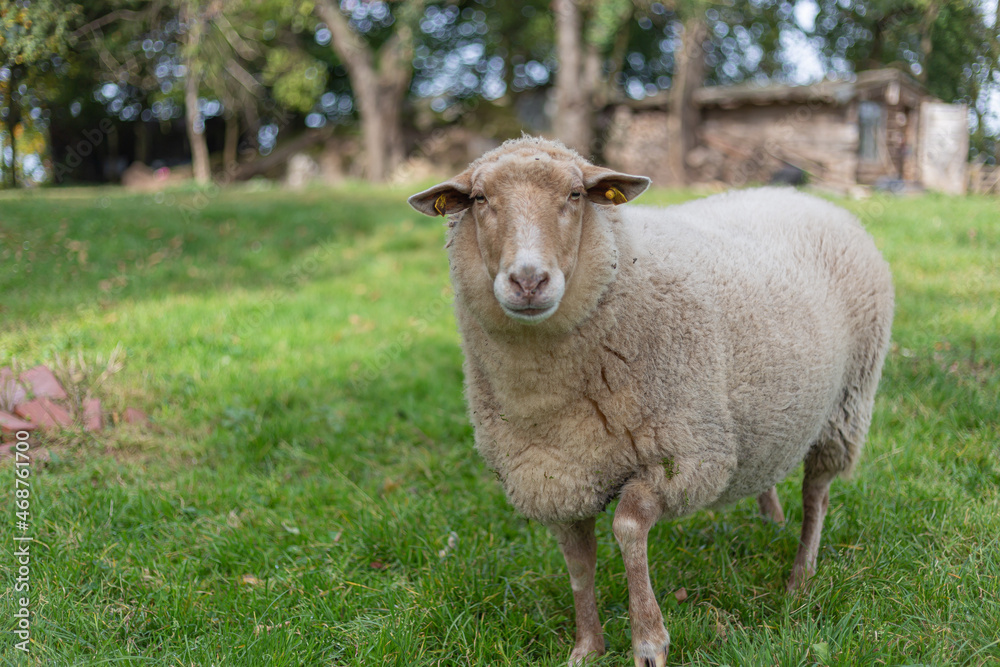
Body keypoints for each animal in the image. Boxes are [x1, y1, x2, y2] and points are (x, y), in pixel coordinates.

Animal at [410, 137, 896, 667]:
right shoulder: (555, 476)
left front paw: (648, 640)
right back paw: (771, 520)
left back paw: (800, 578)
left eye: (575, 195)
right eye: (480, 200)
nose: (529, 281)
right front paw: (587, 646)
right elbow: (578, 562)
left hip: (848, 403)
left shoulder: (681, 454)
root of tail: (806, 196)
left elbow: (627, 528)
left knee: (817, 492)